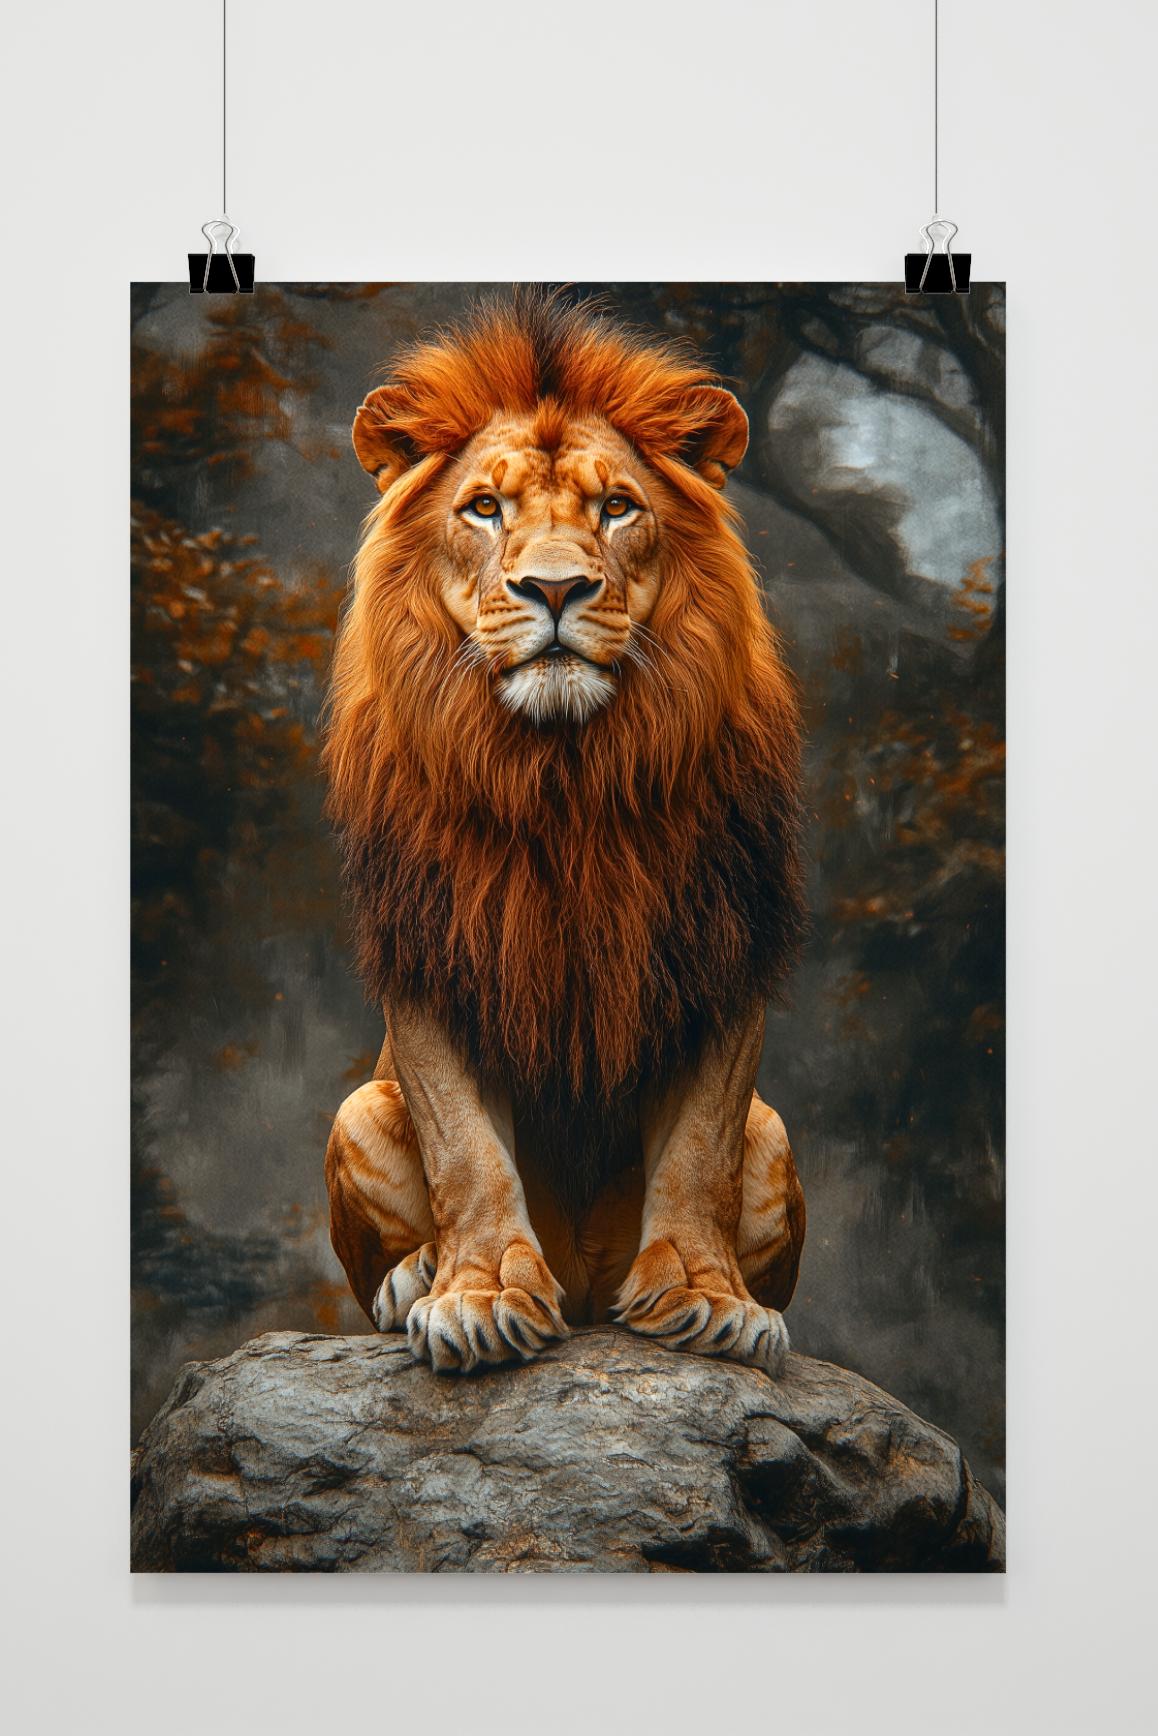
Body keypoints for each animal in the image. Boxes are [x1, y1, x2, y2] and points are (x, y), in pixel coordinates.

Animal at [322, 291, 806, 1377]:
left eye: (617, 507)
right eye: (484, 509)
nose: (553, 590)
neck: (565, 774)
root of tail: (587, 1289)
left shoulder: (725, 941)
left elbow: (702, 1148)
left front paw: (711, 1298)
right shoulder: (434, 946)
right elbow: (466, 1150)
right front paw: (479, 1294)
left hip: (780, 1134)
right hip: (358, 1111)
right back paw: (416, 1277)